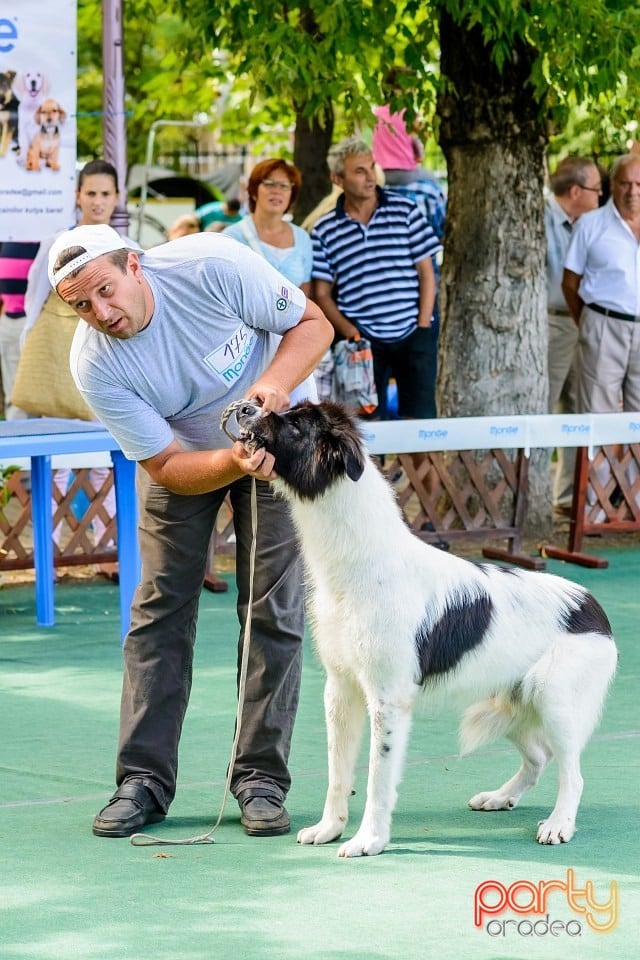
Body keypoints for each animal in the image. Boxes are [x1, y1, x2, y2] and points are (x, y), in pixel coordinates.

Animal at [238, 402, 616, 860]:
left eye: (294, 424)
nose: (245, 408)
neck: (363, 560)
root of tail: (592, 606)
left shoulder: (387, 698)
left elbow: (377, 778)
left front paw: (369, 840)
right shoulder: (340, 688)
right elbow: (337, 772)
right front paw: (329, 828)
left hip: (553, 701)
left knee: (572, 773)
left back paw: (559, 824)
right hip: (511, 701)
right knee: (539, 757)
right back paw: (499, 797)